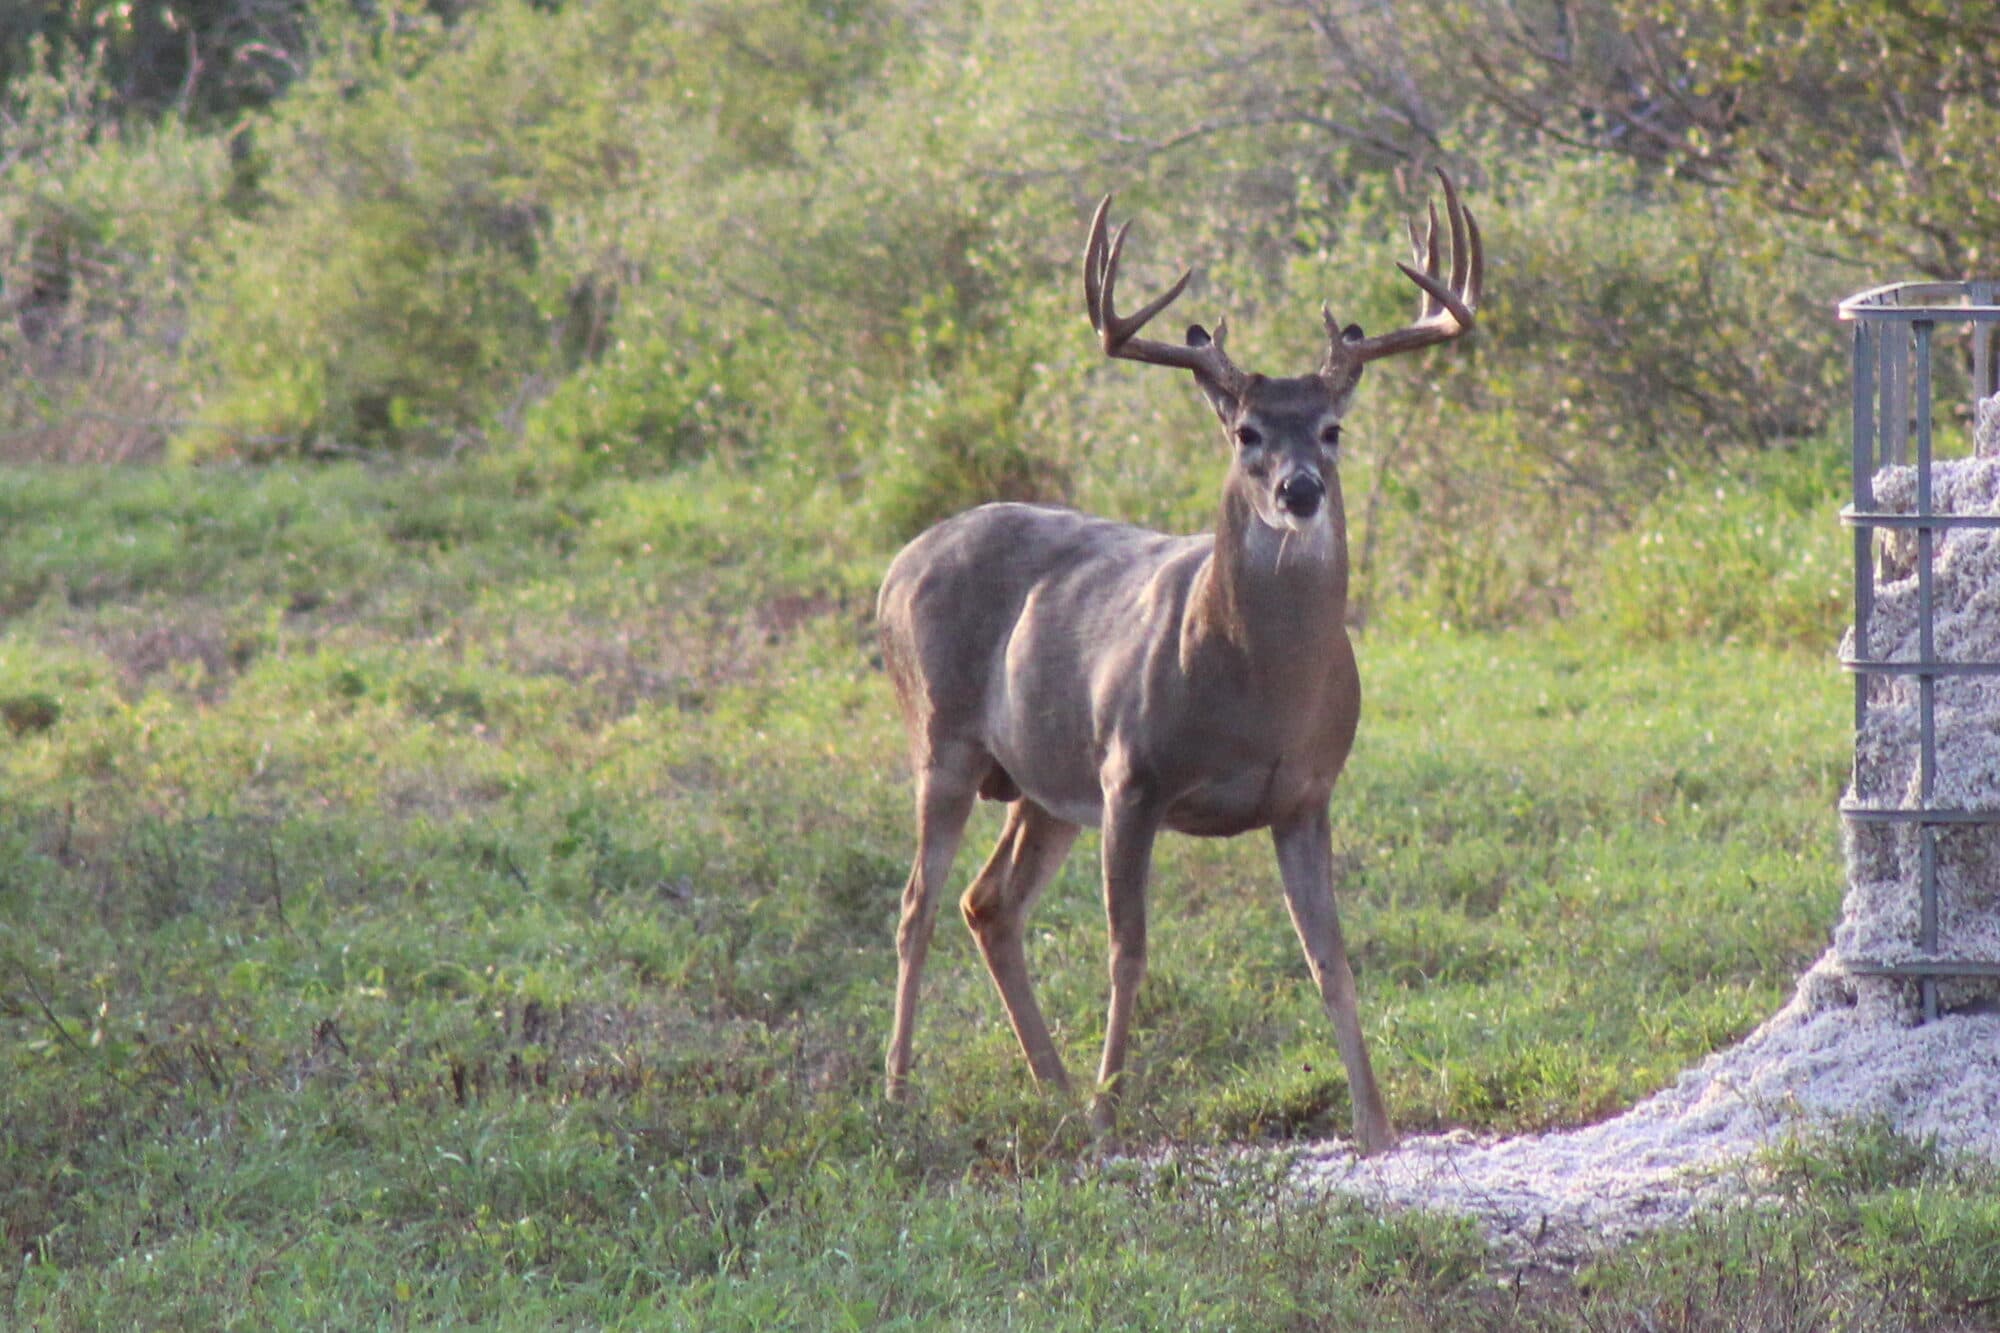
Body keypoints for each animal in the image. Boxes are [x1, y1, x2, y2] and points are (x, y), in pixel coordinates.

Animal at [875, 173, 1481, 1156]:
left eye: (1333, 428)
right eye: (1244, 433)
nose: (1299, 490)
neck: (1256, 691)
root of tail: (898, 563)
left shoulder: (1306, 792)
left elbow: (1331, 957)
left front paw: (1377, 1123)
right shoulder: (1132, 774)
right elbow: (1129, 950)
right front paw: (1108, 1112)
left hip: (1043, 783)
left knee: (987, 902)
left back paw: (1047, 1085)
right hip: (944, 738)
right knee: (916, 903)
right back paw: (901, 1090)